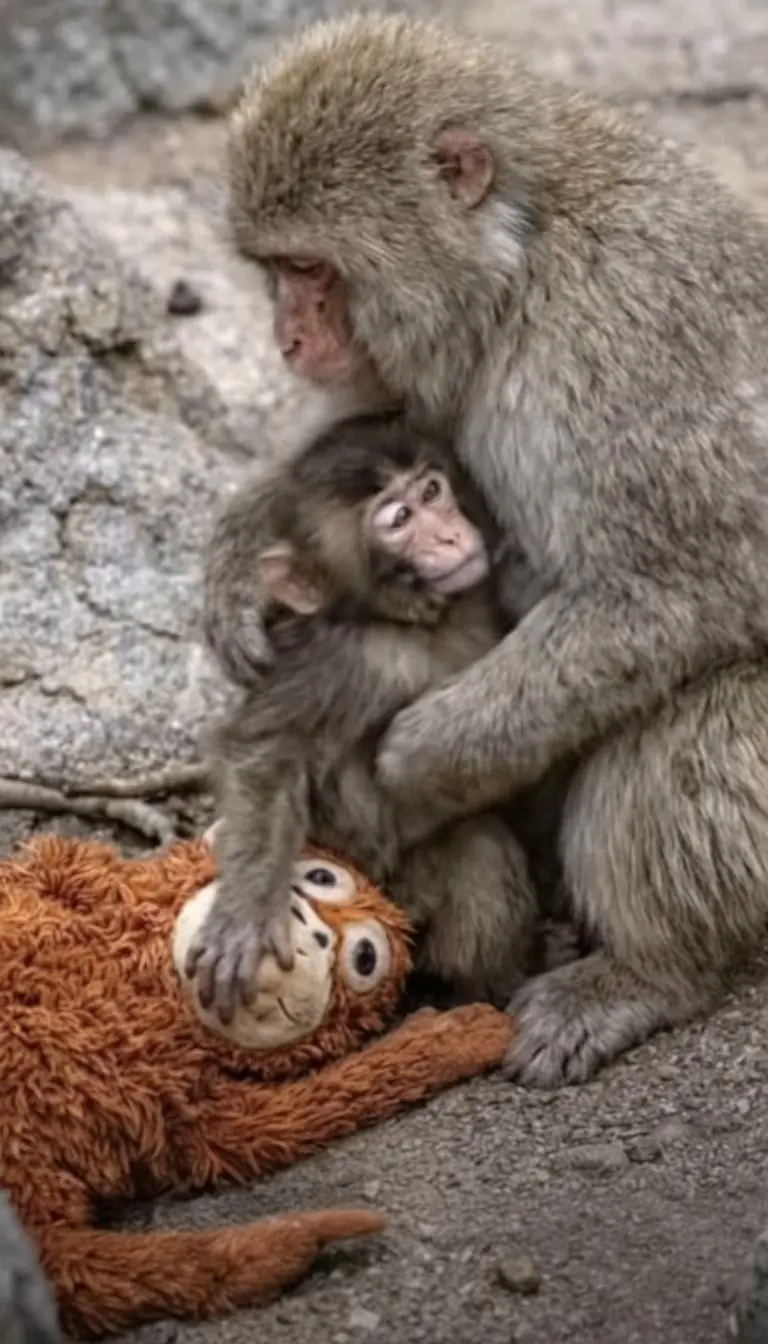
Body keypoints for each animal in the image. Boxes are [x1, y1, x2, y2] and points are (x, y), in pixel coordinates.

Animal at [189, 410, 536, 1024]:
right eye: (398, 520)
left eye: (431, 491)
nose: (450, 535)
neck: (422, 625)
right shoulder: (349, 662)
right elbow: (265, 750)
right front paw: (247, 908)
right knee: (479, 850)